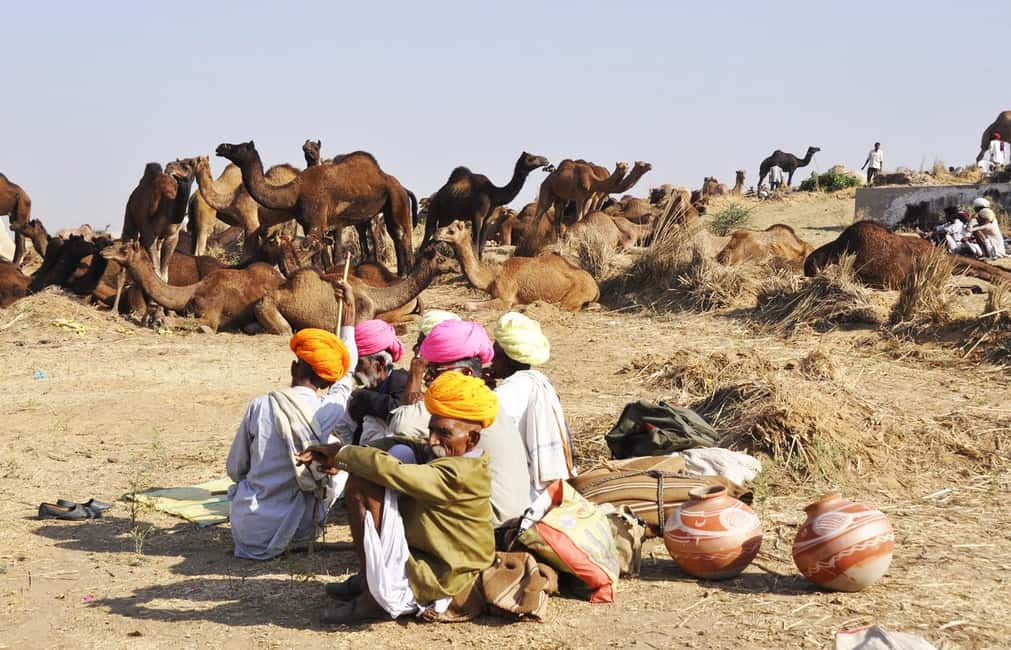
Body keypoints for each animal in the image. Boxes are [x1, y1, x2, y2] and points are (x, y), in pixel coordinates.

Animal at [101, 239, 284, 332]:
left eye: (124, 249)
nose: (104, 251)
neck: (190, 293)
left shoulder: (211, 315)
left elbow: (176, 321)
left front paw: (157, 320)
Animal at [216, 141, 416, 275]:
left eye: (240, 147)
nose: (221, 147)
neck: (294, 193)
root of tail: (401, 186)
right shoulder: (308, 224)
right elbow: (319, 251)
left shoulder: (318, 222)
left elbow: (312, 246)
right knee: (396, 236)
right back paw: (401, 274)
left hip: (397, 199)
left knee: (401, 233)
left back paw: (407, 273)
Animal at [254, 240, 457, 334]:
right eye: (441, 259)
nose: (455, 265)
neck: (374, 296)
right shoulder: (361, 318)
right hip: (267, 308)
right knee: (285, 329)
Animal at [419, 151, 550, 257]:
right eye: (531, 158)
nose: (546, 160)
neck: (493, 194)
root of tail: (437, 195)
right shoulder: (477, 216)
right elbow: (475, 243)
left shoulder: (488, 219)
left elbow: (481, 246)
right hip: (434, 209)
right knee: (428, 234)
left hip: (447, 217)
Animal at [437, 220, 599, 311]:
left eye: (451, 230)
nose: (436, 233)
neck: (492, 277)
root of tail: (595, 286)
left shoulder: (505, 298)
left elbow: (468, 305)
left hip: (575, 294)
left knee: (564, 306)